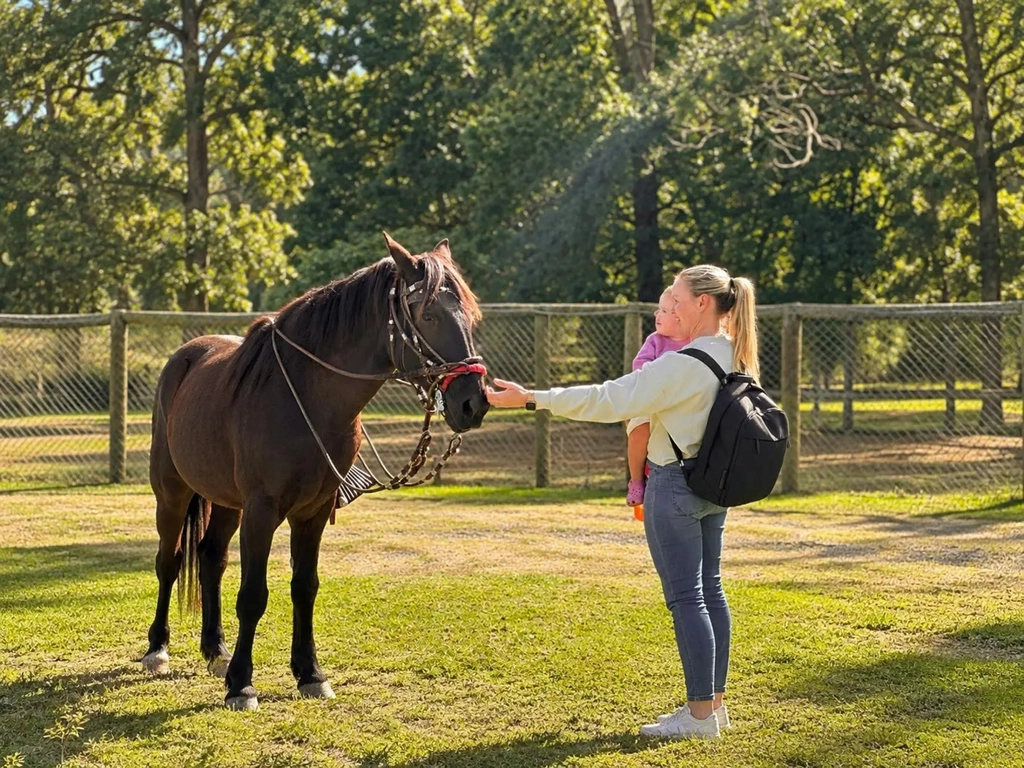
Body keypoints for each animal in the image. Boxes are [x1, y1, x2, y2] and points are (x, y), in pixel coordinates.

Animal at [141, 233, 489, 710]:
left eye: (471, 316)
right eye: (429, 314)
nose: (474, 403)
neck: (308, 398)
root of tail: (184, 358)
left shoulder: (314, 510)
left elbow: (304, 586)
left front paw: (309, 673)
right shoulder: (262, 510)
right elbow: (253, 595)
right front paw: (242, 684)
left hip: (226, 501)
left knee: (211, 558)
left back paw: (216, 650)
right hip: (173, 493)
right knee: (170, 560)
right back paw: (157, 649)